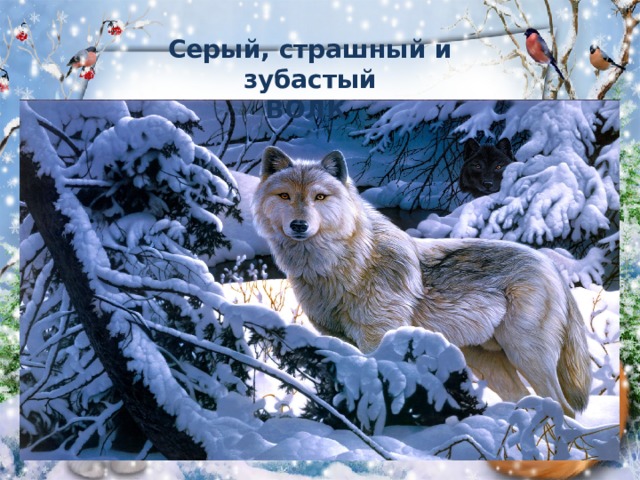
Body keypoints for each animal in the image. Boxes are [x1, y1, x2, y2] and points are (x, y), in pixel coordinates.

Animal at [252, 147, 592, 417]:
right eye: (285, 196)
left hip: (527, 356)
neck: (342, 266)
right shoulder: (338, 340)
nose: (299, 225)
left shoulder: (378, 338)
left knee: (563, 407)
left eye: (320, 197)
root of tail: (551, 265)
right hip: (488, 362)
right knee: (526, 400)